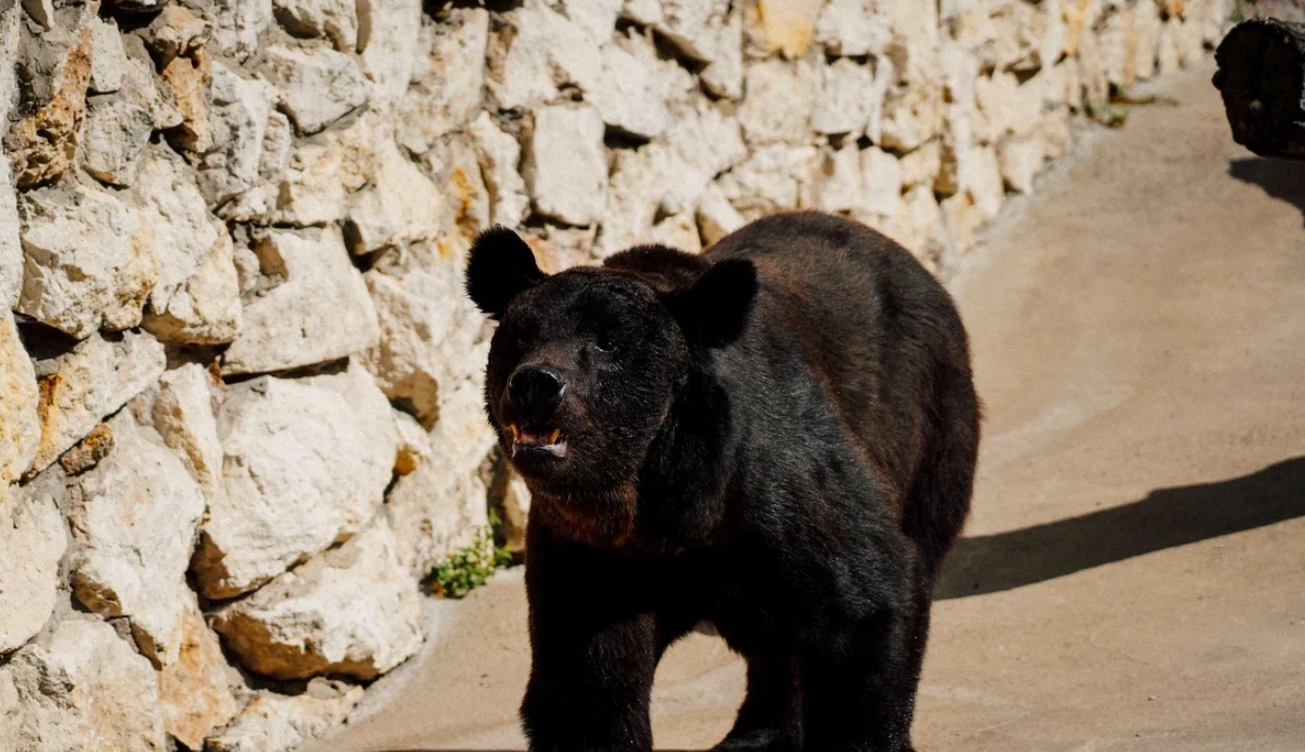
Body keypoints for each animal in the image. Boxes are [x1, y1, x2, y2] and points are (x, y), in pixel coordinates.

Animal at [467, 211, 981, 752]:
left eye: (608, 342)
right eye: (522, 334)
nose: (536, 383)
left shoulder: (776, 491)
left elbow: (865, 605)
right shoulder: (590, 557)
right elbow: (589, 687)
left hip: (929, 435)